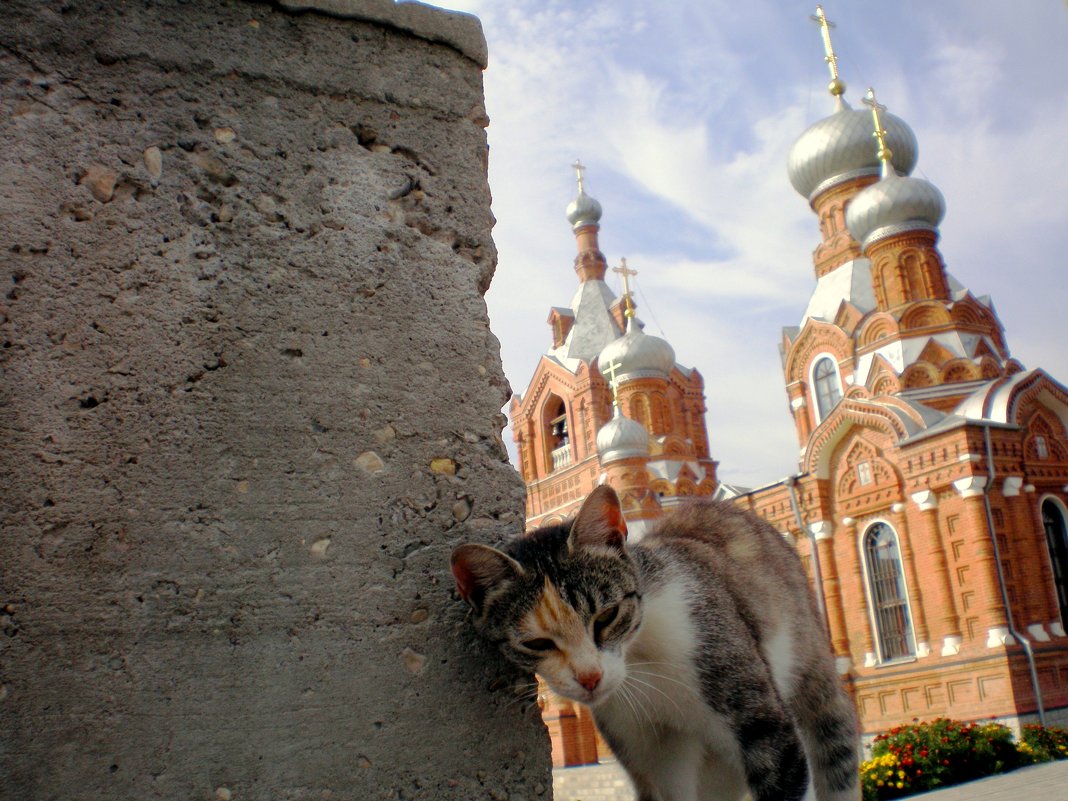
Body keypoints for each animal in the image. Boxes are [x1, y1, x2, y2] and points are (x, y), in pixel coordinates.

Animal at [450, 482, 858, 801]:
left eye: (607, 616)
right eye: (537, 644)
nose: (590, 678)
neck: (640, 662)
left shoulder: (765, 727)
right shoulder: (646, 748)